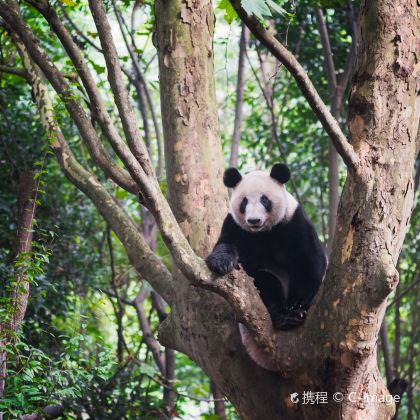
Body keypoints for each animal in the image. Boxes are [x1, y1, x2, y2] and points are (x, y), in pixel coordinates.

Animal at [207, 164, 328, 368]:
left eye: (265, 200)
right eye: (244, 202)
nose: (254, 220)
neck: (263, 232)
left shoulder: (294, 221)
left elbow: (309, 260)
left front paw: (298, 304)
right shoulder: (236, 225)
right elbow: (227, 245)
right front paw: (220, 263)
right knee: (265, 281)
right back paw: (283, 318)